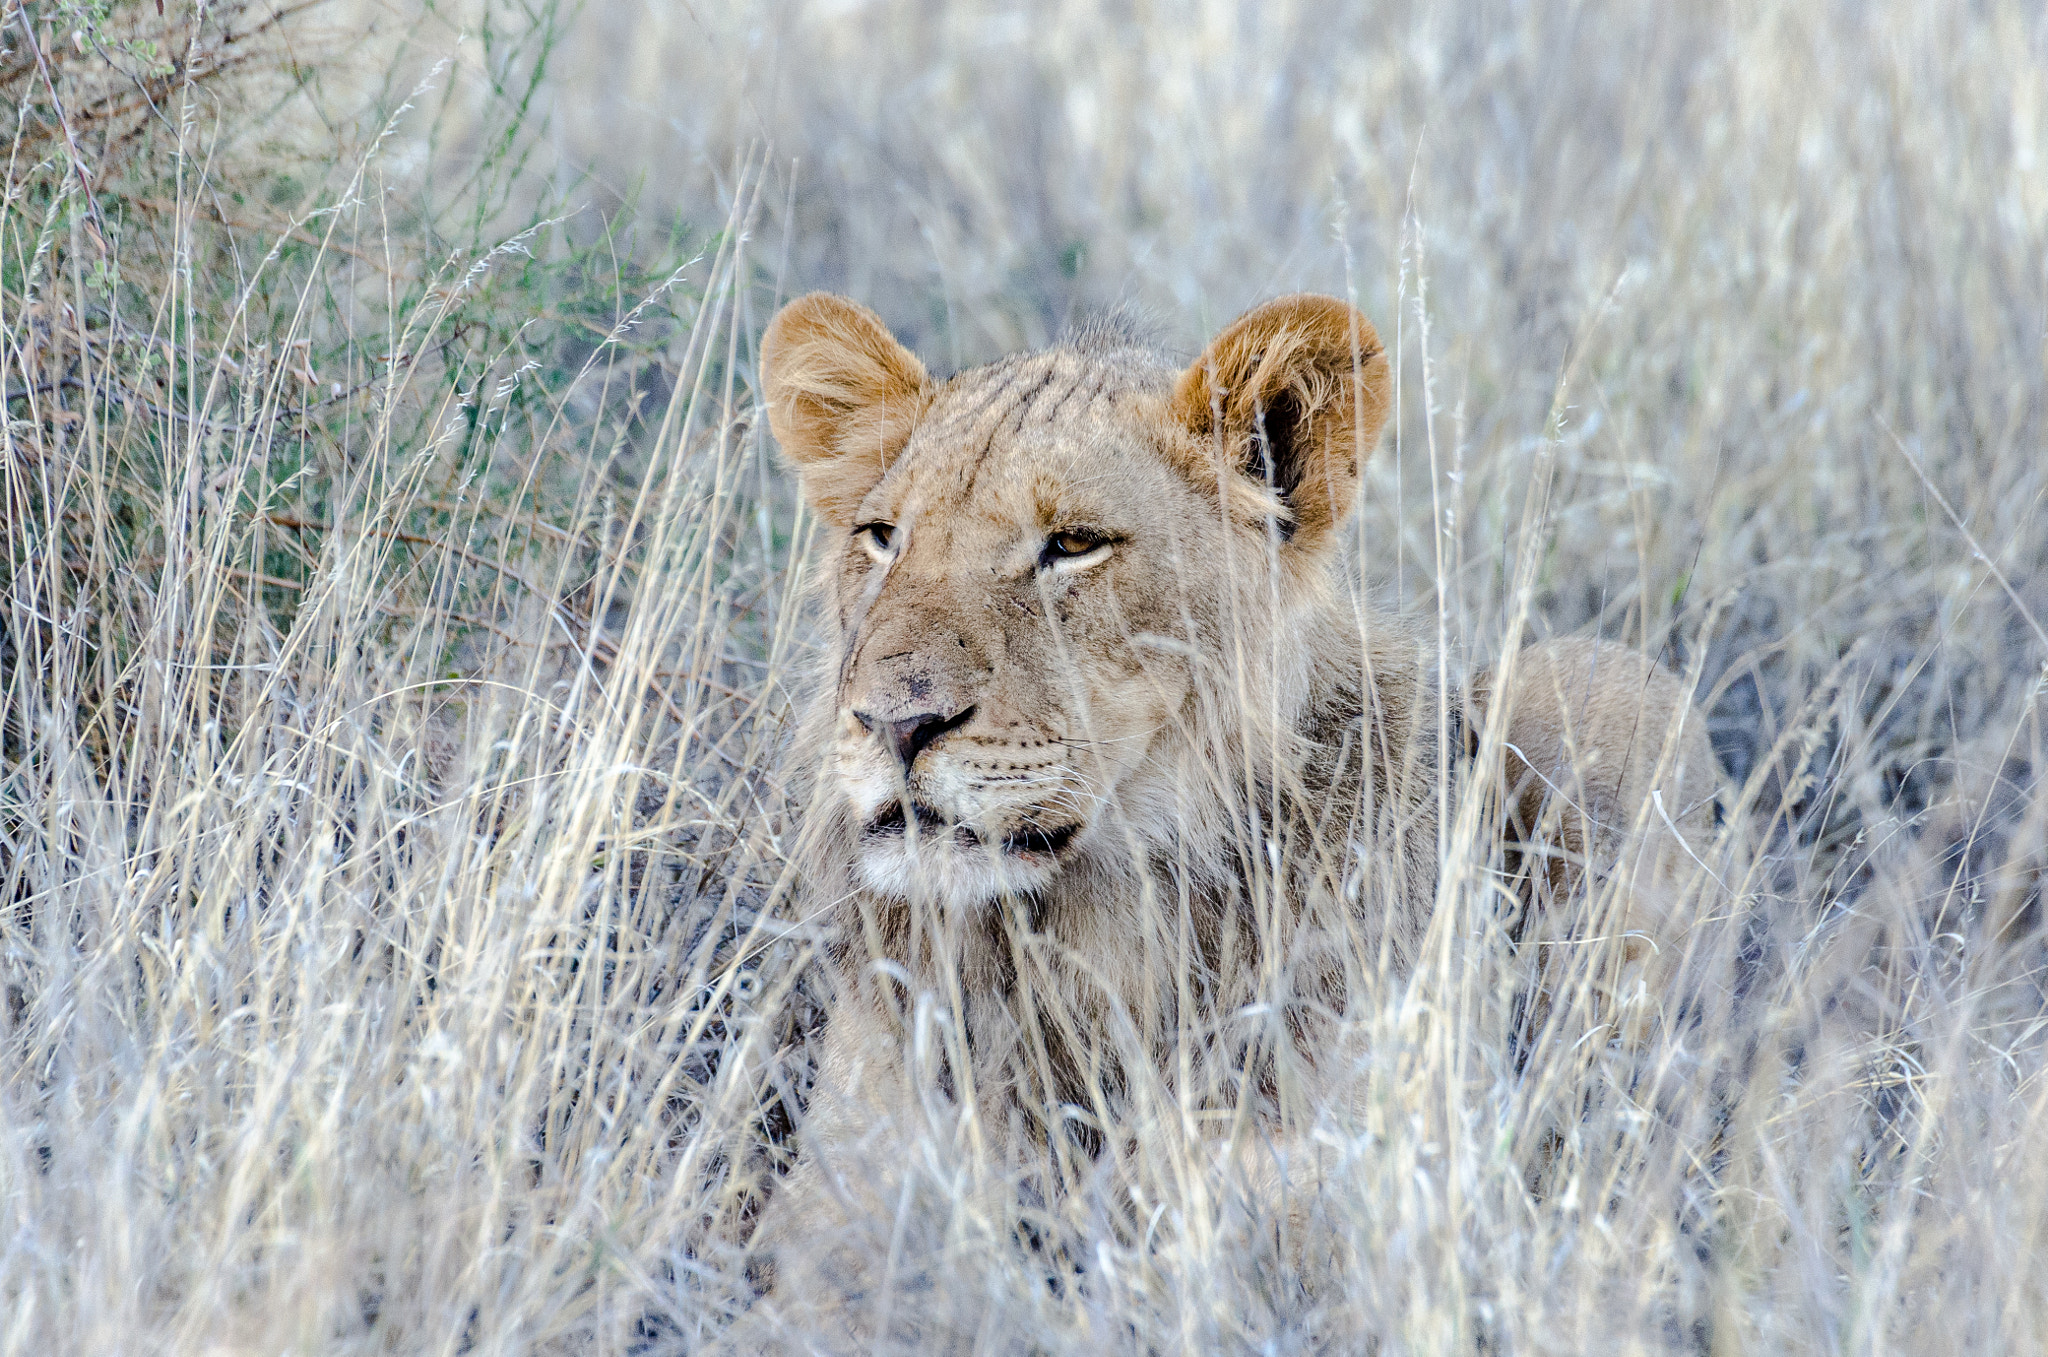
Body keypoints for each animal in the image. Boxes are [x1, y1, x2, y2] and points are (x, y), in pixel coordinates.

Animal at [745, 288, 1720, 1334]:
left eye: (1074, 544)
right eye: (882, 536)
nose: (895, 722)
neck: (1086, 928)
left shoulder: (1336, 1202)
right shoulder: (838, 1200)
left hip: (1614, 682)